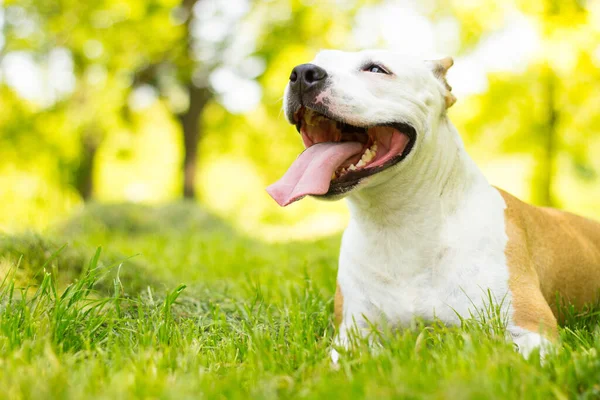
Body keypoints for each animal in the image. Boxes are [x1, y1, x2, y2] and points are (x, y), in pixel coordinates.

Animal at [264, 48, 600, 360]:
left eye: (376, 69)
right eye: (317, 59)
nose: (302, 72)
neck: (397, 223)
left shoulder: (530, 329)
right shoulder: (353, 336)